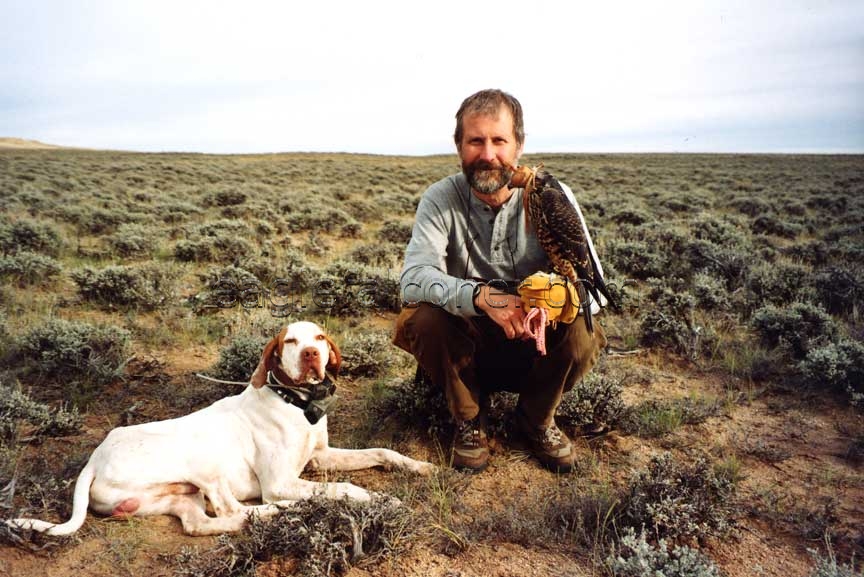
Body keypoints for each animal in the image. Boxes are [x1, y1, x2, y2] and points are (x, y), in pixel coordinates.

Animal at [7, 322, 436, 532]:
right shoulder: (280, 482)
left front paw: (419, 466)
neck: (295, 403)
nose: (312, 354)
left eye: (318, 337)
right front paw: (383, 500)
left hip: (178, 497)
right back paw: (290, 511)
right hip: (202, 461)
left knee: (209, 523)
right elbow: (347, 488)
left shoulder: (319, 457)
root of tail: (94, 459)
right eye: (290, 341)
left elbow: (382, 451)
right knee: (235, 507)